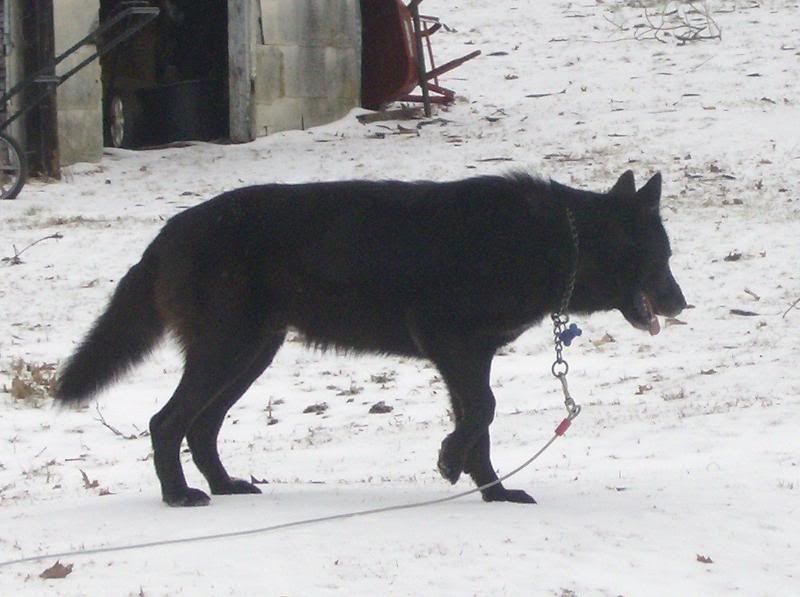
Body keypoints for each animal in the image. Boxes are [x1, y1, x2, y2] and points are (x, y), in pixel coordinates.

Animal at [53, 170, 684, 506]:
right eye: (663, 258)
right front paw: (452, 463)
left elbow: (479, 421)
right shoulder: (452, 346)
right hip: (227, 351)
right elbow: (482, 412)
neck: (558, 239)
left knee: (200, 426)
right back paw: (179, 496)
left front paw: (491, 492)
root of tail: (167, 232)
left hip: (252, 355)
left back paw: (226, 485)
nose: (682, 304)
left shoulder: (469, 356)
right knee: (166, 422)